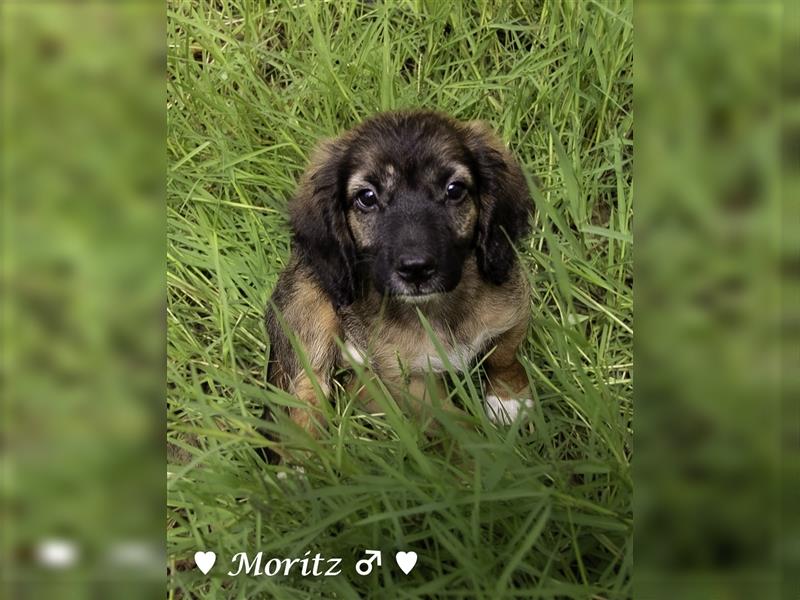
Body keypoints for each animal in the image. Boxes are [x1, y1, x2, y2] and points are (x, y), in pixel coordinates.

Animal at [266, 109, 536, 436]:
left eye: (454, 190)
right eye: (367, 197)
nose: (416, 269)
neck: (437, 308)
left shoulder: (513, 312)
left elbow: (504, 356)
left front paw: (508, 398)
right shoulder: (408, 380)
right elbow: (455, 427)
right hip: (307, 309)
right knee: (306, 402)